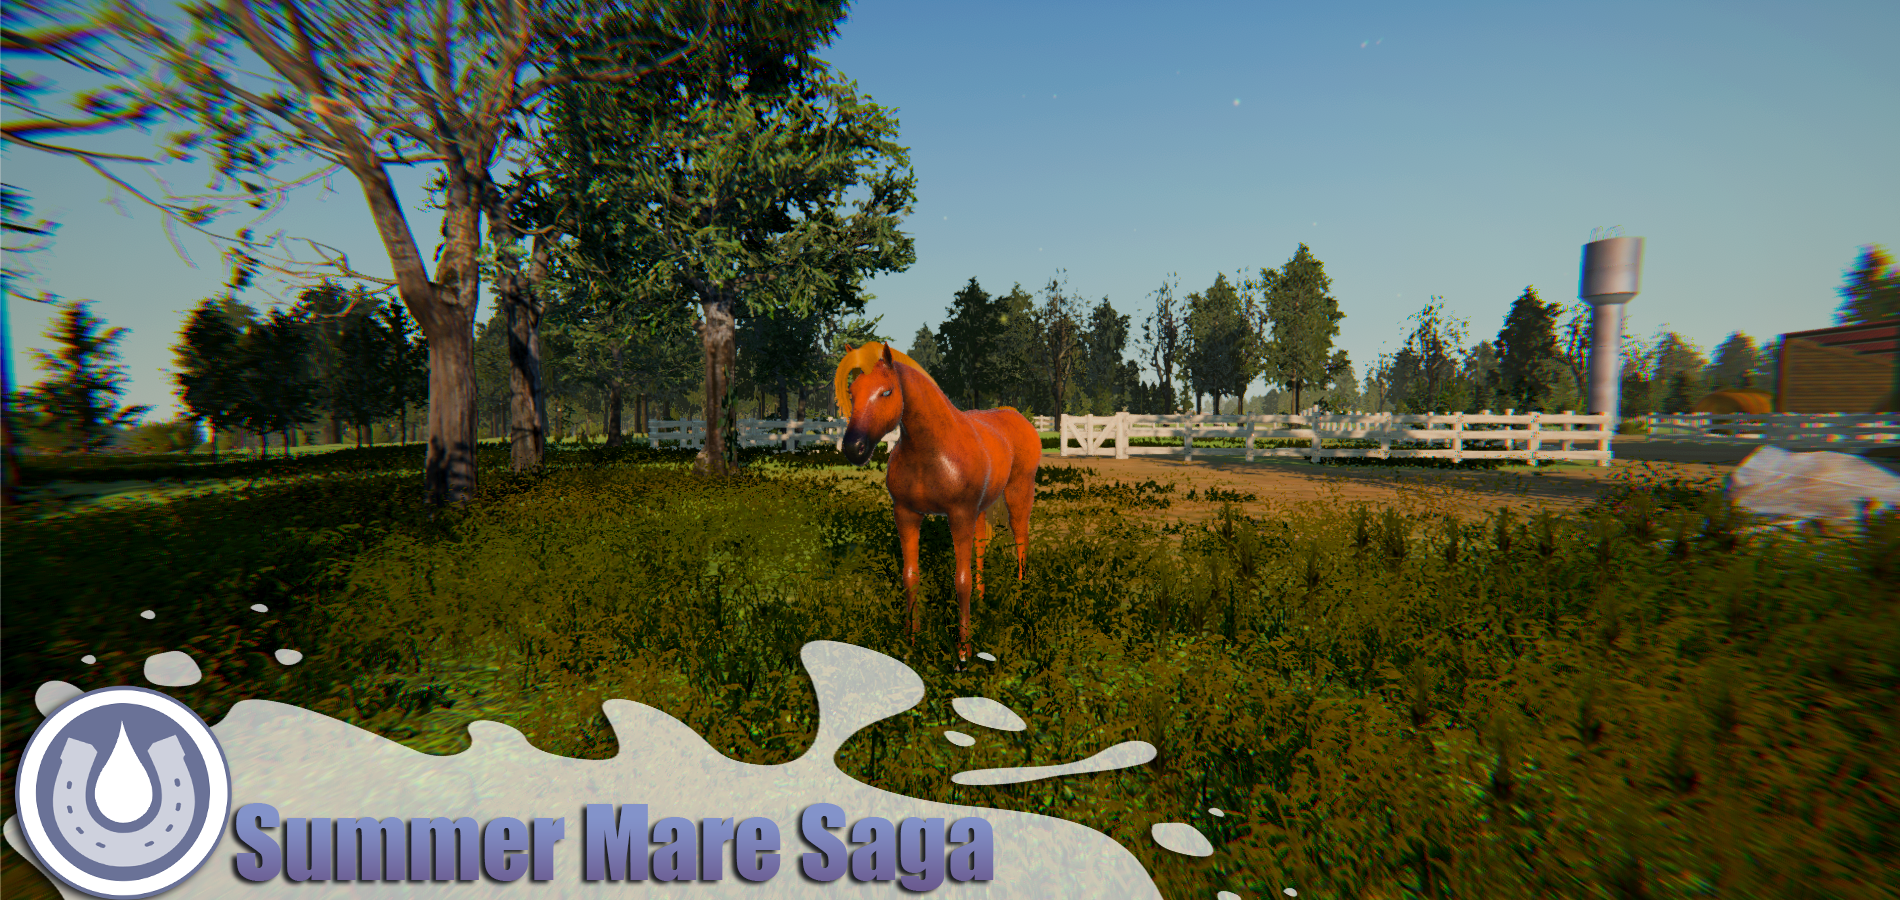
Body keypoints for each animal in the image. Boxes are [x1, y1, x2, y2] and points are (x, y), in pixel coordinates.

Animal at [837, 342, 1042, 664]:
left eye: (887, 392)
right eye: (852, 391)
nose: (853, 448)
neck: (932, 451)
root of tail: (1017, 417)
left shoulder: (959, 515)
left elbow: (961, 581)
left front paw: (963, 655)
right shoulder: (907, 514)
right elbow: (911, 577)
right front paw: (911, 643)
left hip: (1019, 491)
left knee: (1021, 540)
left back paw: (1021, 600)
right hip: (980, 509)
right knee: (982, 542)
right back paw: (982, 601)